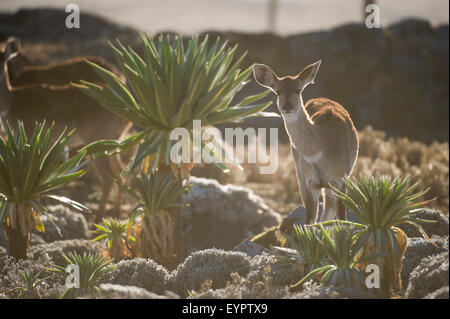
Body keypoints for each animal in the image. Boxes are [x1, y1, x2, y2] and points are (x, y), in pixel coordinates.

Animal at [253, 60, 358, 225]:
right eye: (277, 92)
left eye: (298, 90)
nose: (287, 107)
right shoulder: (306, 182)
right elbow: (309, 221)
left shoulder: (341, 178)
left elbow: (342, 218)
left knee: (329, 210)